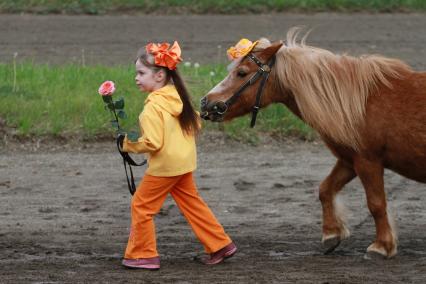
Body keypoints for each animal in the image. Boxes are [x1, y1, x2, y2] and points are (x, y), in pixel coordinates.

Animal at [200, 27, 426, 258]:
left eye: (242, 73)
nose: (206, 102)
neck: (359, 104)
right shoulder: (348, 160)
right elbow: (325, 189)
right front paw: (331, 234)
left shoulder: (368, 162)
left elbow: (376, 204)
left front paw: (381, 246)